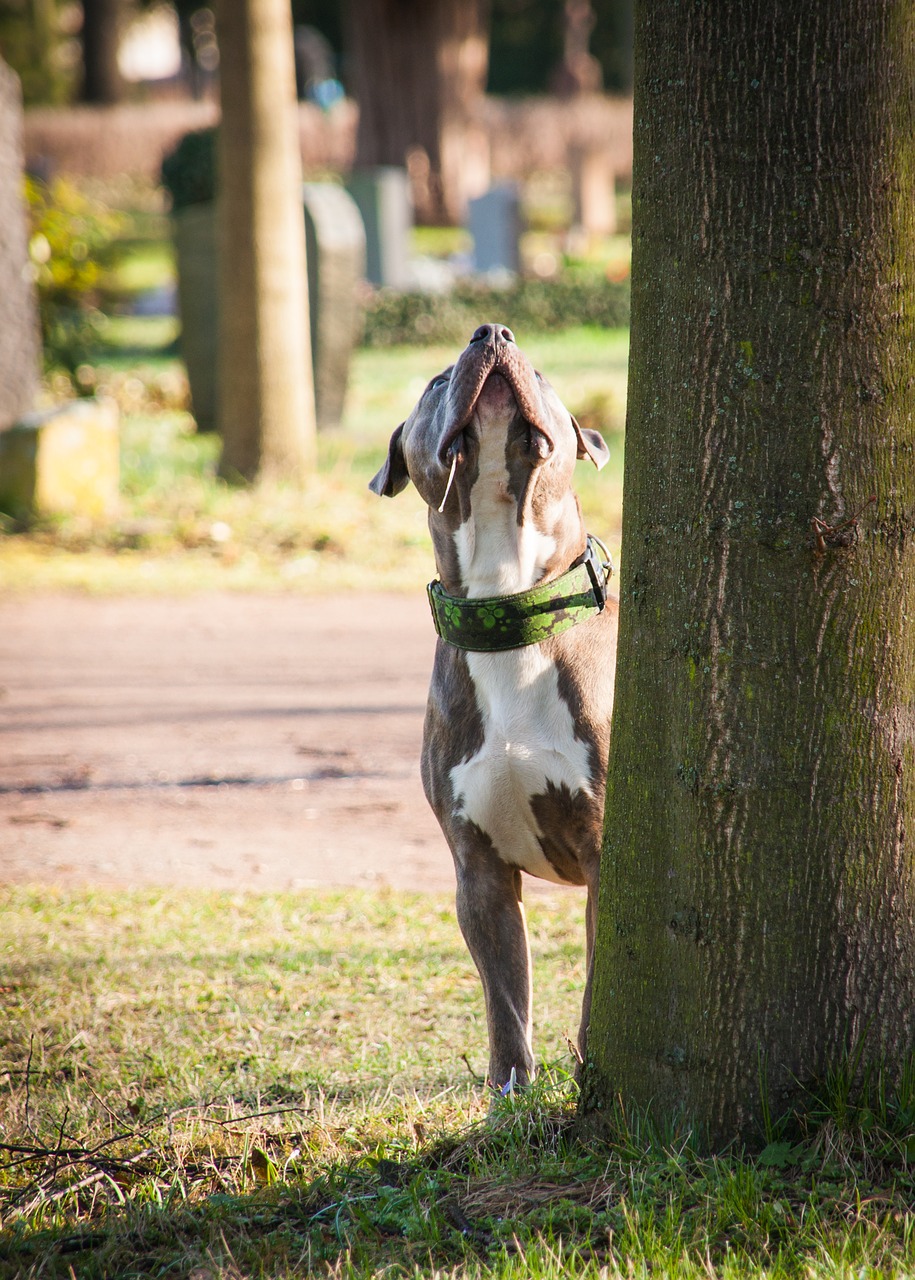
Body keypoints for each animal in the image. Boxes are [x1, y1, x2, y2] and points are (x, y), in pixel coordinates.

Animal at [368, 320, 619, 1090]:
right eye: (436, 380)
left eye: (539, 372)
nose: (493, 330)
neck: (509, 605)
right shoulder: (476, 870)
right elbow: (505, 1000)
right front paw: (508, 1093)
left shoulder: (604, 850)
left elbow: (597, 986)